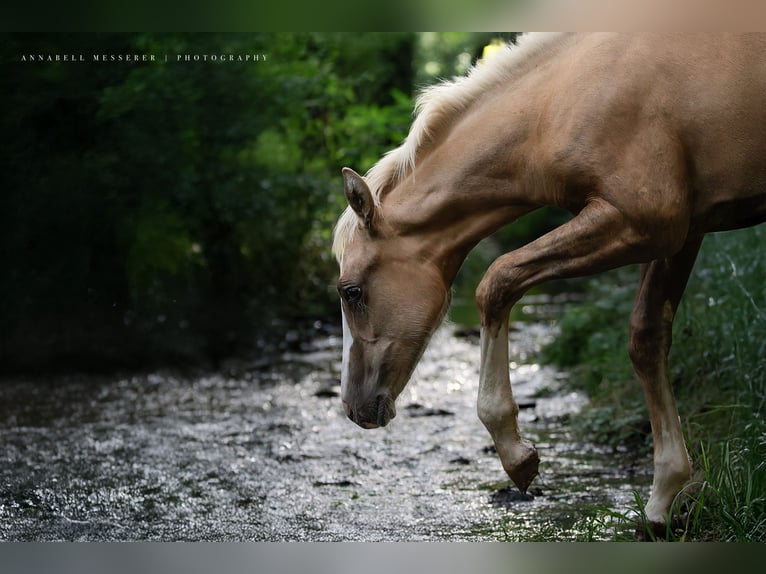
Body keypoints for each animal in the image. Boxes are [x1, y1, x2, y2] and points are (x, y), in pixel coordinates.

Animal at [332, 33, 766, 534]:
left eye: (351, 292)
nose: (353, 407)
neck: (559, 100)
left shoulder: (643, 222)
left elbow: (497, 280)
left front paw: (515, 454)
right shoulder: (682, 232)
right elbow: (646, 338)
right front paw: (663, 499)